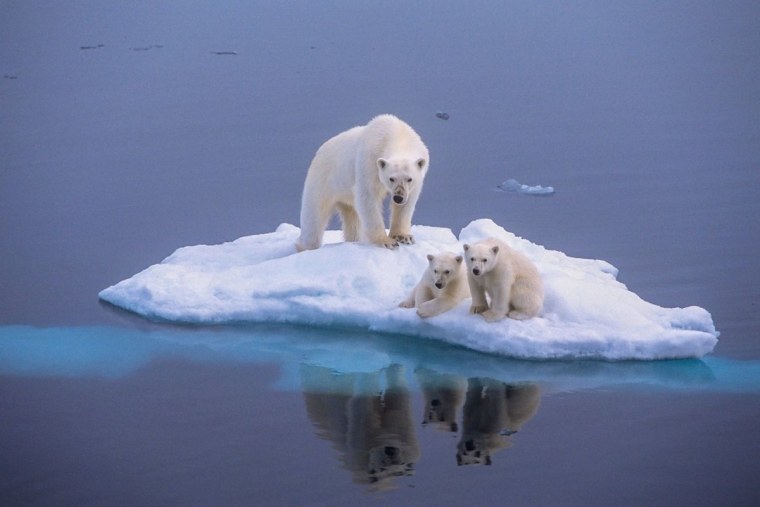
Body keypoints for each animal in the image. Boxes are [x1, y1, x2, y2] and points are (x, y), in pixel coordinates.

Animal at [296, 114, 430, 251]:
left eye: (409, 179)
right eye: (391, 178)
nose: (398, 197)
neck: (397, 135)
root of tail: (319, 152)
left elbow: (406, 205)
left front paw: (403, 237)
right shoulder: (369, 161)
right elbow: (368, 197)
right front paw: (387, 242)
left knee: (352, 219)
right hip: (322, 181)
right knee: (314, 216)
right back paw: (305, 246)